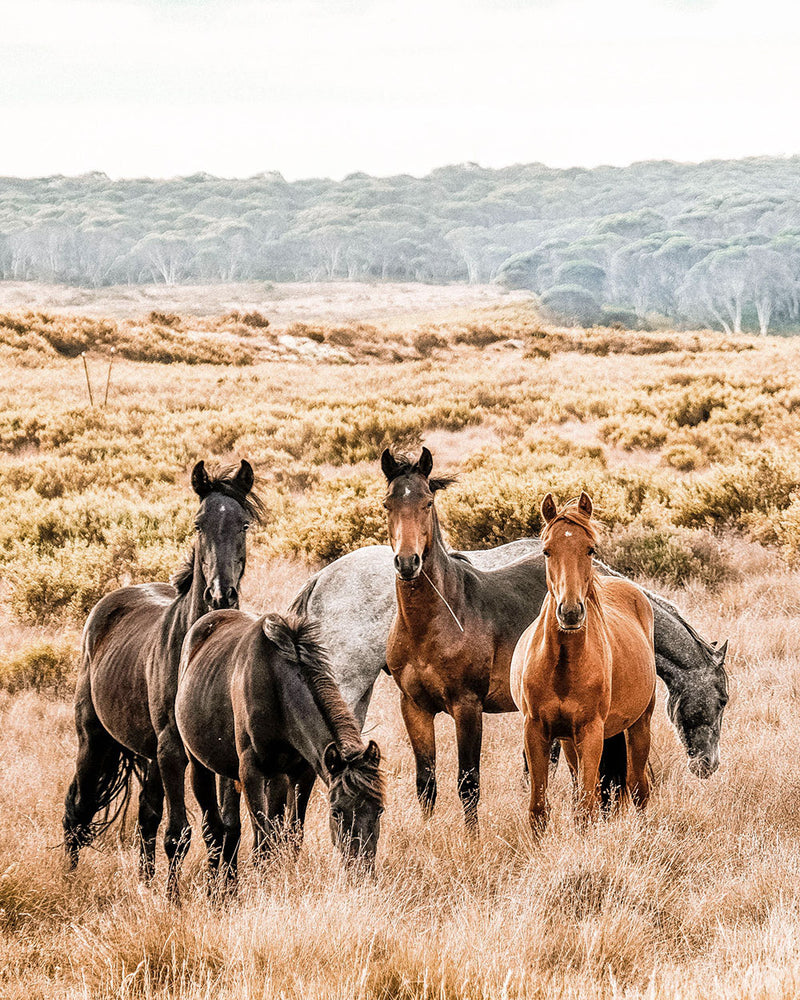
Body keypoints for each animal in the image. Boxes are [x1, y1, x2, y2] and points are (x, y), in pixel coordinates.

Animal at [63, 460, 262, 900]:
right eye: (198, 523)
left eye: (243, 523)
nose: (221, 595)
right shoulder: (173, 750)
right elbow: (181, 832)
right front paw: (174, 902)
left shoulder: (218, 755)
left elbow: (224, 829)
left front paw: (224, 893)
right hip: (94, 740)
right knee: (77, 809)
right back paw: (67, 879)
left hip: (148, 756)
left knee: (146, 818)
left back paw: (144, 881)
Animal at [176, 604, 388, 880]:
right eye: (336, 812)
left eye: (379, 810)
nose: (361, 872)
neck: (276, 687)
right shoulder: (251, 772)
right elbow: (263, 839)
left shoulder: (302, 772)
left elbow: (291, 836)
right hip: (200, 766)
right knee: (212, 829)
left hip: (256, 774)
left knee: (233, 827)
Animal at [512, 492, 656, 828]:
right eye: (547, 550)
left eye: (590, 549)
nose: (570, 612)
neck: (562, 666)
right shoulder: (536, 731)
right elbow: (538, 808)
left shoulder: (591, 733)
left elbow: (587, 808)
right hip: (568, 740)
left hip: (639, 725)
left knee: (638, 787)